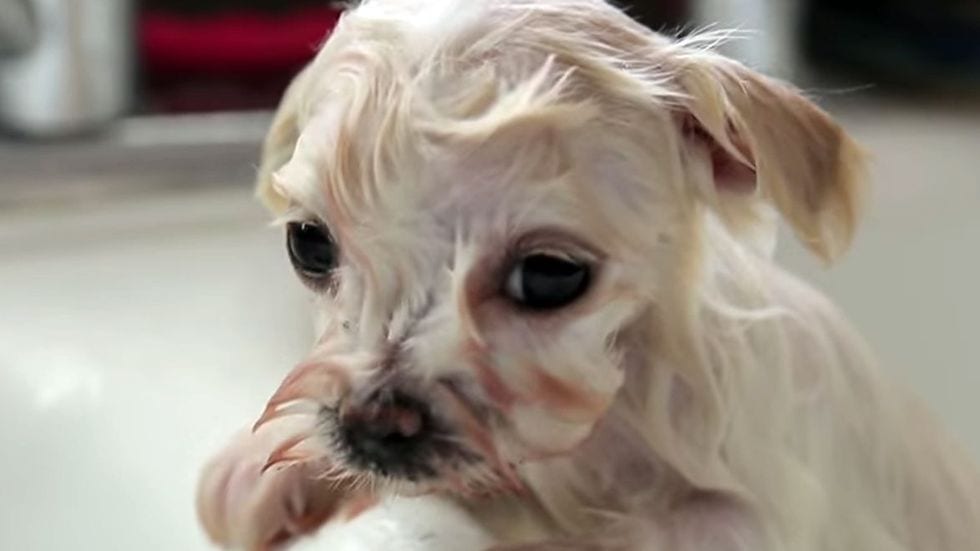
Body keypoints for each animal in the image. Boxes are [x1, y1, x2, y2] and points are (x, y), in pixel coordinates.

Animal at [195, 1, 976, 551]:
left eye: (548, 276)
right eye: (308, 244)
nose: (373, 426)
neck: (612, 423)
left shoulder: (763, 514)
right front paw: (257, 467)